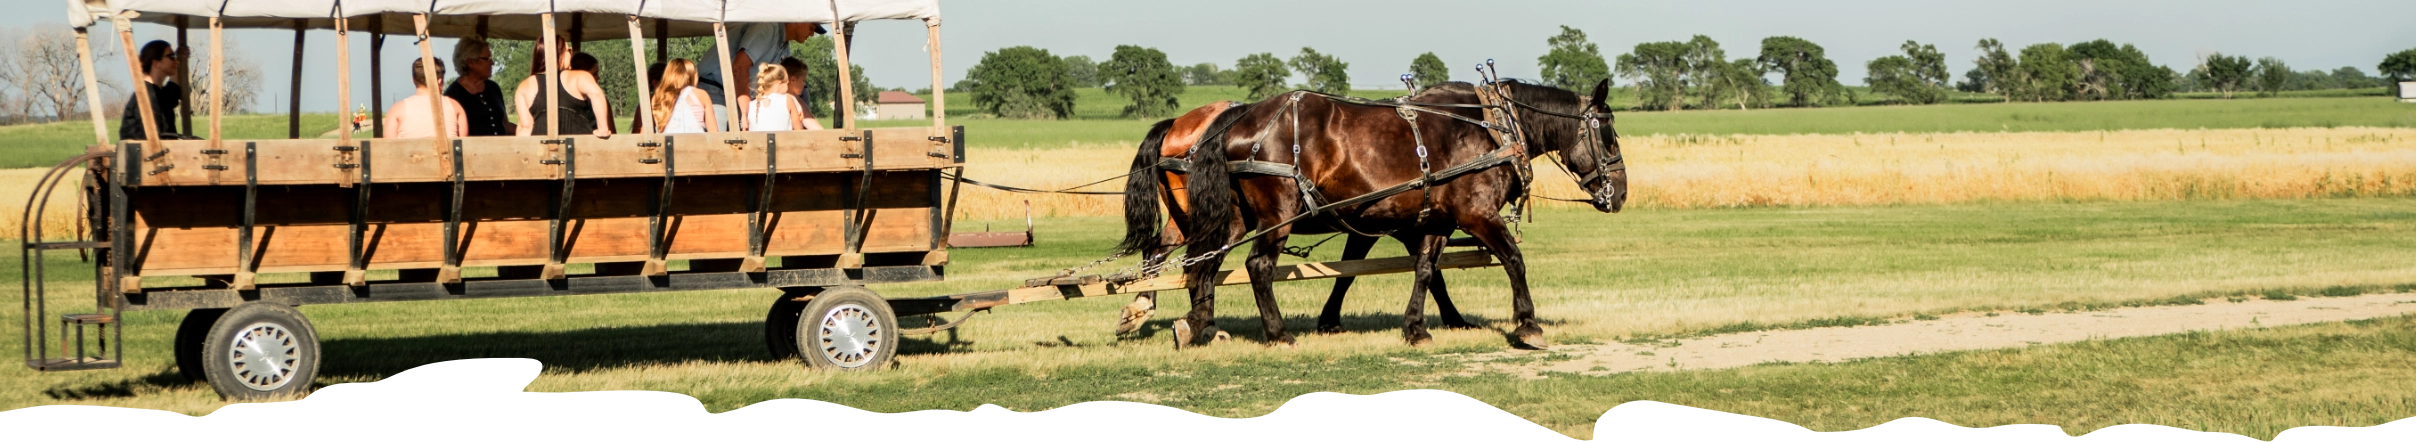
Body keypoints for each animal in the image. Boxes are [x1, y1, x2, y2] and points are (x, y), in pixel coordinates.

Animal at [1113, 96, 1481, 337]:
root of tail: (1178, 126)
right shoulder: (1398, 225)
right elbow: (1430, 271)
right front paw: (1449, 319)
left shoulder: (1371, 224)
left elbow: (1353, 270)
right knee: (1189, 259)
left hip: (1194, 218)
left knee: (1167, 253)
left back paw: (1157, 311)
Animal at [1152, 78, 1625, 349]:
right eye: (1609, 134)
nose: (1619, 193)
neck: (1492, 127)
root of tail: (1237, 122)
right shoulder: (1476, 214)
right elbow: (1514, 260)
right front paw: (1528, 324)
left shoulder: (1434, 219)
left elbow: (1425, 270)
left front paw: (1416, 327)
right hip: (1276, 214)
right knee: (1257, 266)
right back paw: (1277, 333)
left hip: (1233, 218)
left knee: (1204, 264)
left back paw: (1197, 325)